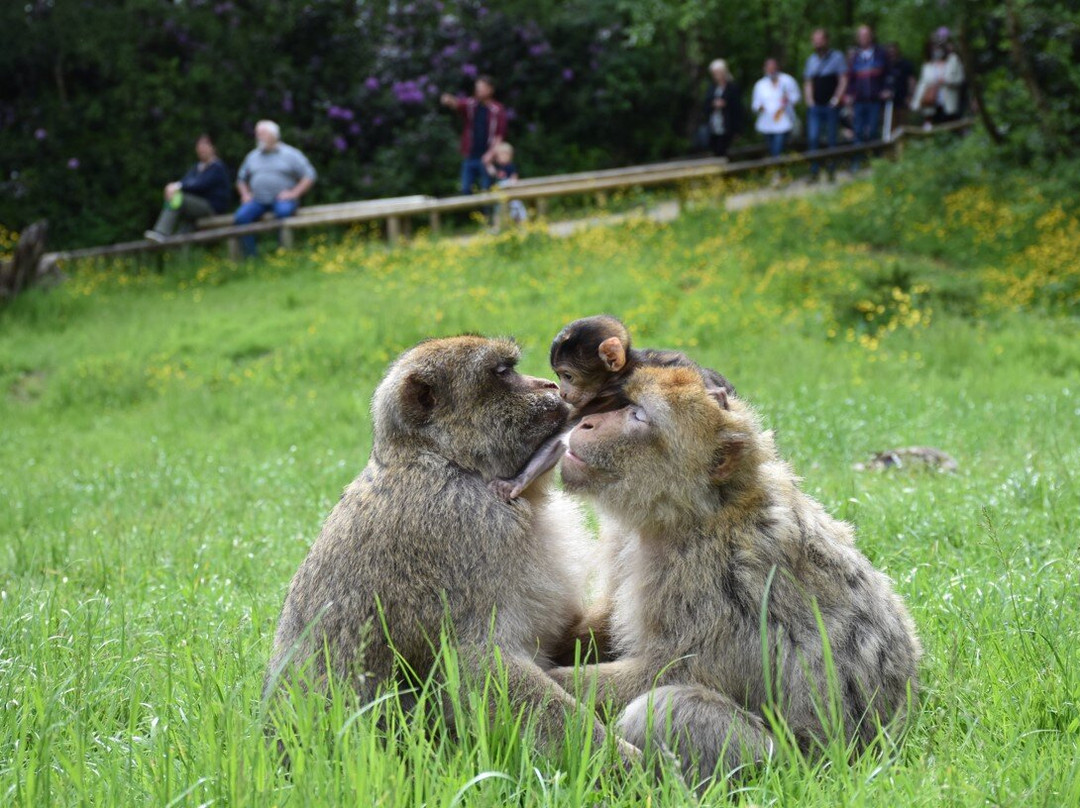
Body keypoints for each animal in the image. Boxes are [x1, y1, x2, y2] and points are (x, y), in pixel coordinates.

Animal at [490, 313, 734, 499]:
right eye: (559, 375)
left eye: (568, 376)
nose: (563, 392)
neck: (614, 383)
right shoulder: (591, 403)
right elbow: (560, 441)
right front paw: (516, 482)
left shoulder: (641, 366)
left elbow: (677, 362)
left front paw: (713, 390)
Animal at [557, 365, 920, 790]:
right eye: (623, 404)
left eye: (639, 415)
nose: (587, 423)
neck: (697, 512)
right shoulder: (626, 542)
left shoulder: (703, 576)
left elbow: (665, 673)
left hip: (779, 766)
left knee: (666, 708)